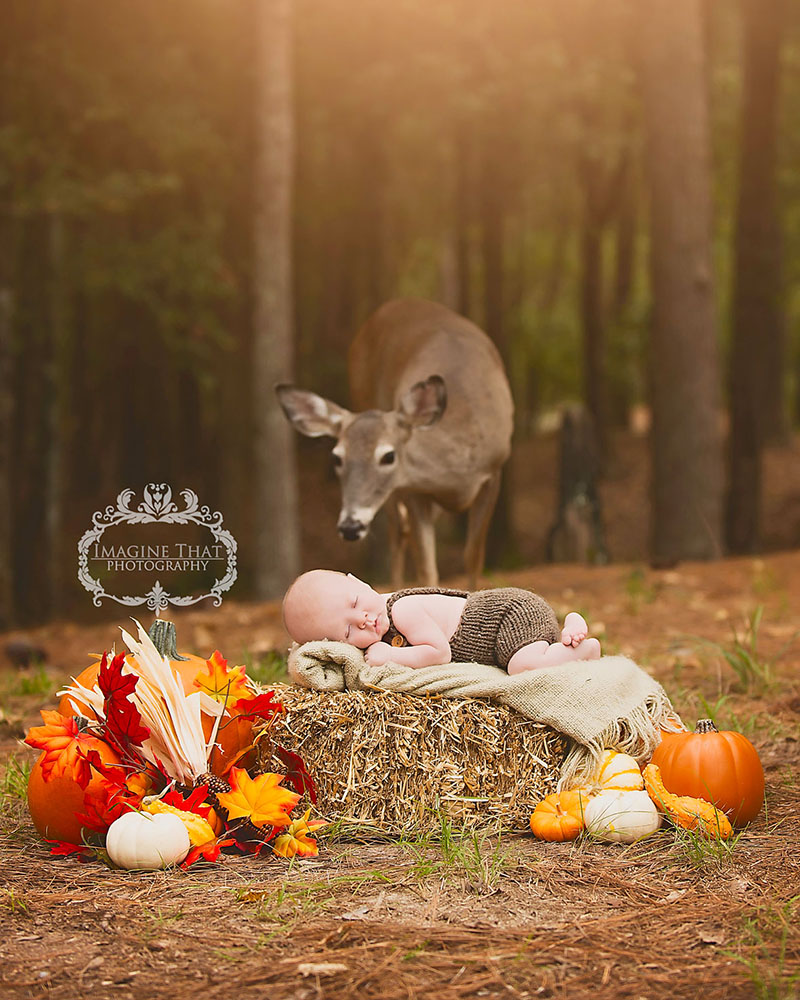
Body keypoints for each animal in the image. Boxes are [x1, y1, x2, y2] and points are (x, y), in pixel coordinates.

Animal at [276, 300, 512, 588]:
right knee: (397, 531)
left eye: (388, 456)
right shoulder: (413, 488)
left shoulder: (494, 472)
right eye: (337, 457)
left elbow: (473, 556)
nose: (350, 527)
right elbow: (427, 568)